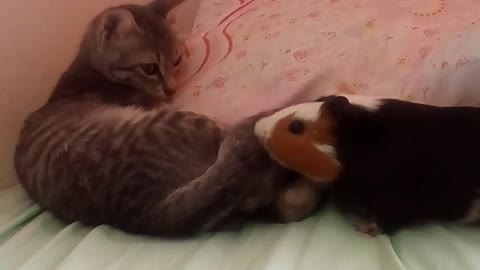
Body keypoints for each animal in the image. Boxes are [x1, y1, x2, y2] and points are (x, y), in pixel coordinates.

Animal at [14, 1, 318, 235]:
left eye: (176, 61)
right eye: (149, 68)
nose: (171, 89)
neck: (91, 69)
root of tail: (149, 211)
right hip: (187, 124)